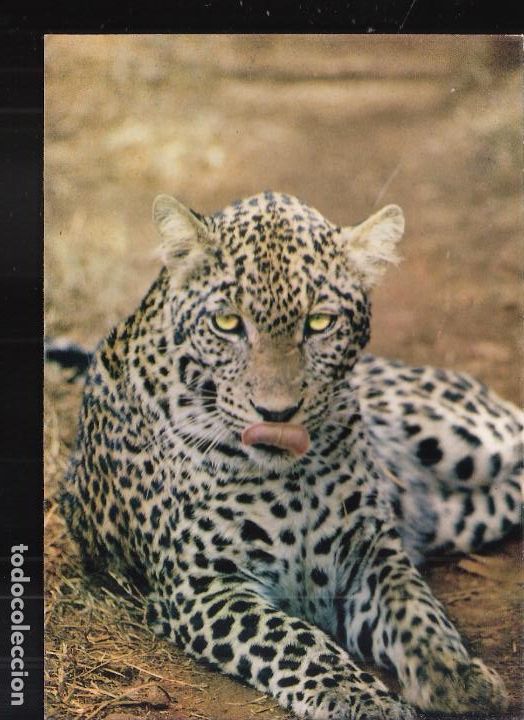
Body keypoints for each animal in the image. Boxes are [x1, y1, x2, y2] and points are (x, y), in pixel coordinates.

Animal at [58, 190, 523, 720]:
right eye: (227, 322)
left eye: (319, 322)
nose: (276, 413)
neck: (293, 476)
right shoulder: (205, 586)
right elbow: (297, 643)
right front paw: (367, 700)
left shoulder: (371, 553)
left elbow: (416, 611)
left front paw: (457, 674)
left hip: (471, 439)